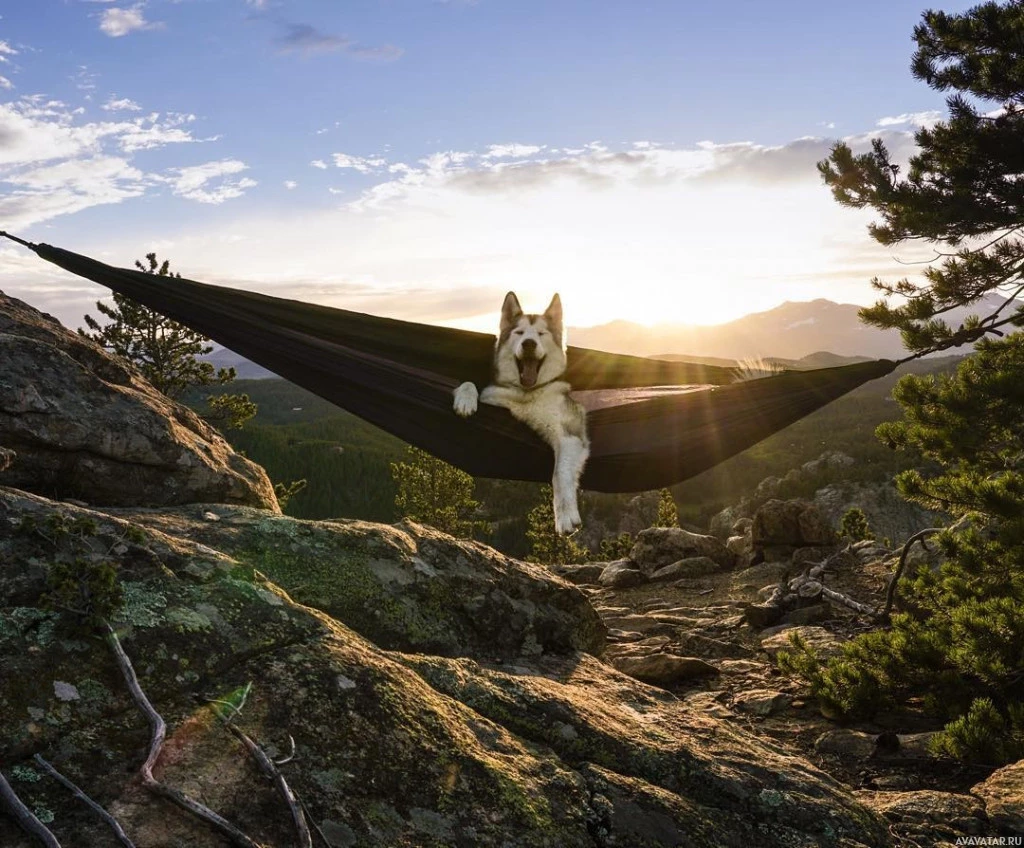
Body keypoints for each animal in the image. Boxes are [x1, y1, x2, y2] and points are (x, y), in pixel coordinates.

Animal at [452, 288, 589, 532]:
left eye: (541, 334)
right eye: (519, 332)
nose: (529, 344)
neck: (526, 395)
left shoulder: (569, 434)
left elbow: (559, 473)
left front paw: (564, 515)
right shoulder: (493, 398)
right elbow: (470, 384)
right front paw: (466, 398)